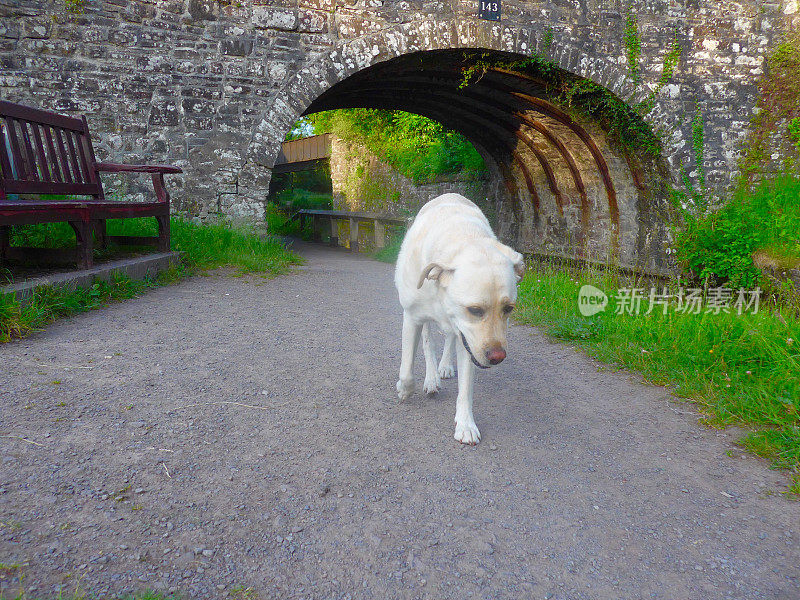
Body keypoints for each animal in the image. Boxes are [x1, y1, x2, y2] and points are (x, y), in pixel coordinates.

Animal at [394, 195, 524, 442]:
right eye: (474, 309)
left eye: (509, 308)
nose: (497, 357)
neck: (463, 236)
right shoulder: (411, 318)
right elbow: (407, 369)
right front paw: (405, 389)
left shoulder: (469, 342)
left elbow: (466, 389)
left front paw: (465, 424)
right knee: (428, 342)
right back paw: (432, 377)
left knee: (449, 337)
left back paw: (444, 366)